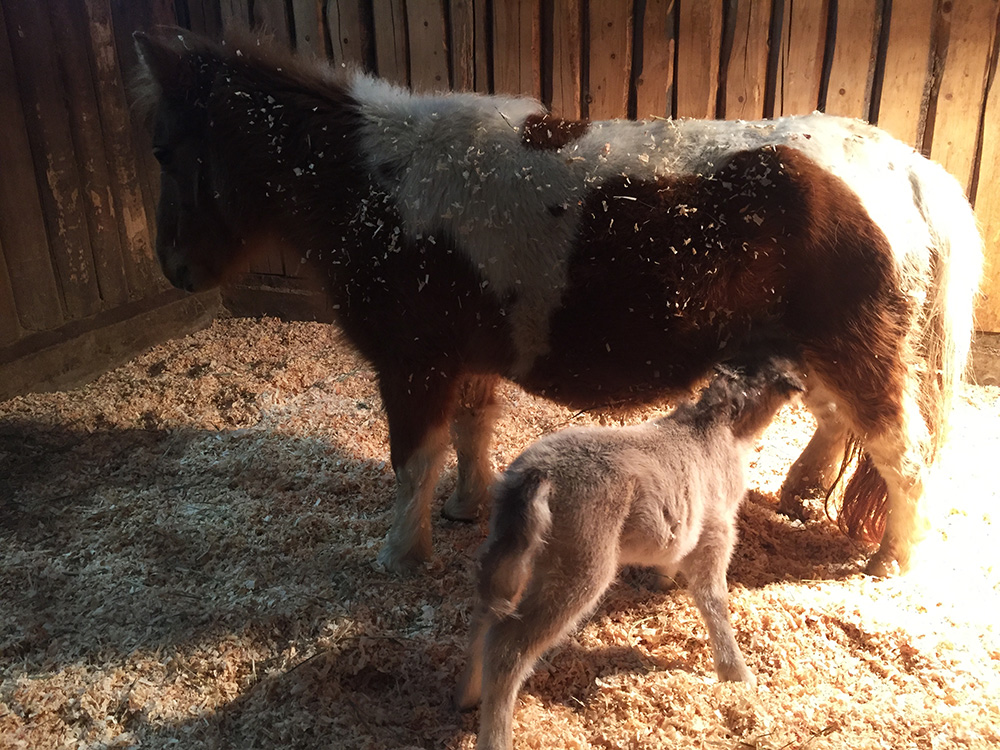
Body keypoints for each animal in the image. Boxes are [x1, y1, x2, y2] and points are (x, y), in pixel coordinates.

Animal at [133, 30, 984, 576]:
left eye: (166, 150)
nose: (174, 268)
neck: (378, 183)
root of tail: (907, 168)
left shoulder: (412, 366)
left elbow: (413, 459)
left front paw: (399, 556)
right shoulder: (466, 359)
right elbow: (472, 432)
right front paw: (465, 510)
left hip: (855, 352)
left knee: (902, 453)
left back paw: (891, 561)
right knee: (840, 426)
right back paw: (803, 497)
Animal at [458, 356, 800, 750]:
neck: (718, 429)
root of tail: (535, 476)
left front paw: (662, 582)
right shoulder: (717, 529)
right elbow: (714, 598)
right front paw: (737, 673)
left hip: (507, 546)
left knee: (485, 611)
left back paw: (467, 697)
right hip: (580, 565)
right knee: (507, 647)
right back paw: (495, 735)